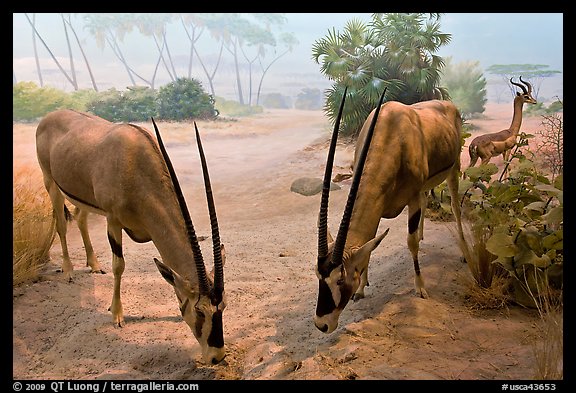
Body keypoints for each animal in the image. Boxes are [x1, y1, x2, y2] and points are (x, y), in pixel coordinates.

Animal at [35, 108, 228, 362]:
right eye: (200, 311)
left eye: (223, 306)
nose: (217, 356)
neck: (134, 164)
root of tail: (49, 116)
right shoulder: (113, 220)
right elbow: (119, 265)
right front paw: (116, 314)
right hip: (51, 183)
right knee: (61, 224)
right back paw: (68, 270)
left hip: (83, 198)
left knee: (80, 218)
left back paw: (94, 264)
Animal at [310, 87, 468, 332]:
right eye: (318, 274)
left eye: (340, 279)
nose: (321, 325)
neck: (391, 136)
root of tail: (448, 105)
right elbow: (370, 244)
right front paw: (361, 289)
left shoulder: (412, 198)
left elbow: (410, 243)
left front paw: (420, 287)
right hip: (427, 185)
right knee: (427, 201)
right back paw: (423, 235)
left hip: (453, 169)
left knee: (455, 206)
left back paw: (463, 252)